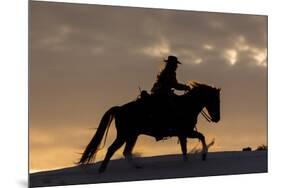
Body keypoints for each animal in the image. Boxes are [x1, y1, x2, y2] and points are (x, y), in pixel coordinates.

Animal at [77, 81, 220, 173]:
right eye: (215, 100)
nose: (217, 118)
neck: (186, 105)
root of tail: (119, 109)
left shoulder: (183, 134)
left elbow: (185, 149)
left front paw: (187, 162)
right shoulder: (187, 131)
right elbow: (201, 137)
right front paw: (203, 155)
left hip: (132, 136)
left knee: (126, 151)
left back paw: (136, 167)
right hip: (124, 135)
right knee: (112, 149)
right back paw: (102, 170)